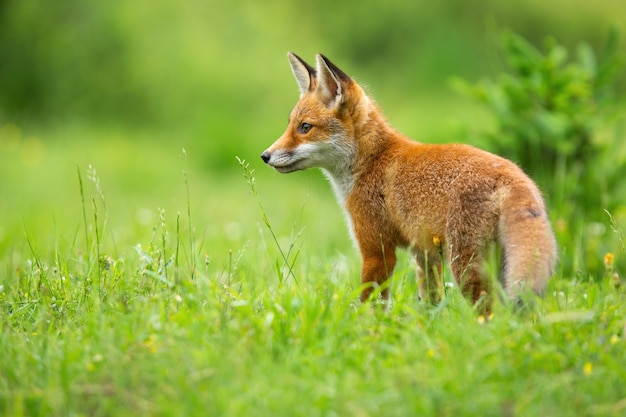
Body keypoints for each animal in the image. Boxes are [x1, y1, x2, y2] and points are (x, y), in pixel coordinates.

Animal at [260, 52, 552, 308]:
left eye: (305, 128)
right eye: (290, 125)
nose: (265, 156)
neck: (372, 161)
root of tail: (516, 175)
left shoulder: (376, 250)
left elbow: (371, 304)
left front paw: (368, 330)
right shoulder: (423, 252)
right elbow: (430, 303)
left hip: (466, 265)